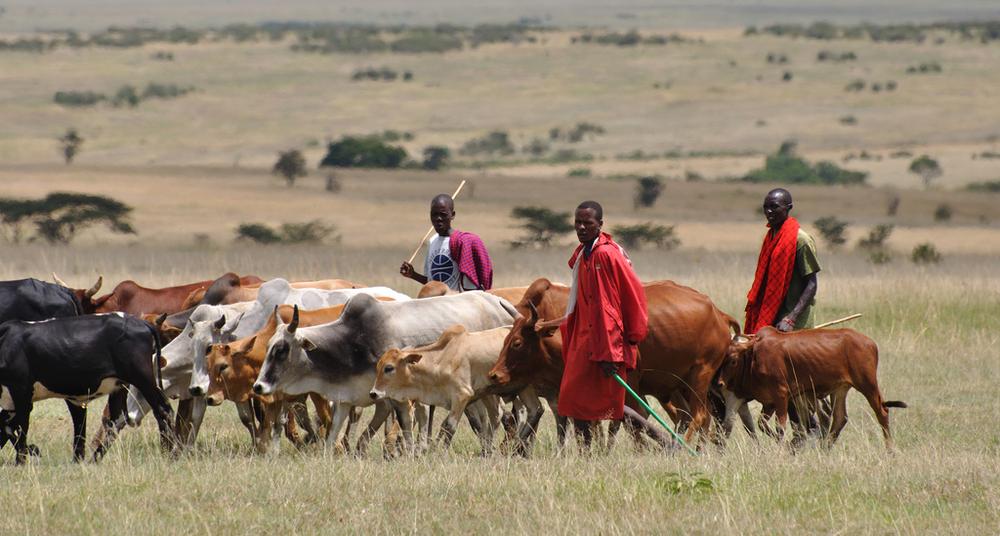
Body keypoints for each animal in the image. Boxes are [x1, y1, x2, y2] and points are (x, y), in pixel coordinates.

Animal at [0, 314, 176, 464]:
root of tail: (142, 323)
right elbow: (8, 426)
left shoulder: (21, 392)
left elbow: (21, 428)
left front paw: (22, 460)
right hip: (120, 385)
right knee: (117, 419)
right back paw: (94, 459)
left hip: (142, 378)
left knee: (163, 409)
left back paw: (170, 453)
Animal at [368, 324, 512, 454]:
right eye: (377, 367)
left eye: (389, 368)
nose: (373, 393)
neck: (441, 361)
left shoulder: (462, 395)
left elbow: (450, 426)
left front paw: (443, 453)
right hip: (488, 393)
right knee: (496, 415)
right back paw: (488, 450)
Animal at [488, 276, 740, 448]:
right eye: (505, 339)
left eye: (517, 343)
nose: (494, 375)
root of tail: (718, 313)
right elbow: (595, 424)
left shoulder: (629, 386)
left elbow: (628, 421)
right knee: (696, 418)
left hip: (698, 378)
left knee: (698, 416)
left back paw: (682, 447)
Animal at [720, 326, 908, 448]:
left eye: (733, 360)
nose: (719, 383)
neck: (754, 356)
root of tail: (870, 342)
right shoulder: (769, 402)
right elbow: (762, 424)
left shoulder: (781, 396)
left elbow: (780, 428)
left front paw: (781, 446)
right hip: (840, 389)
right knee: (840, 418)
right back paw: (825, 449)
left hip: (868, 385)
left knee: (882, 412)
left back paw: (890, 450)